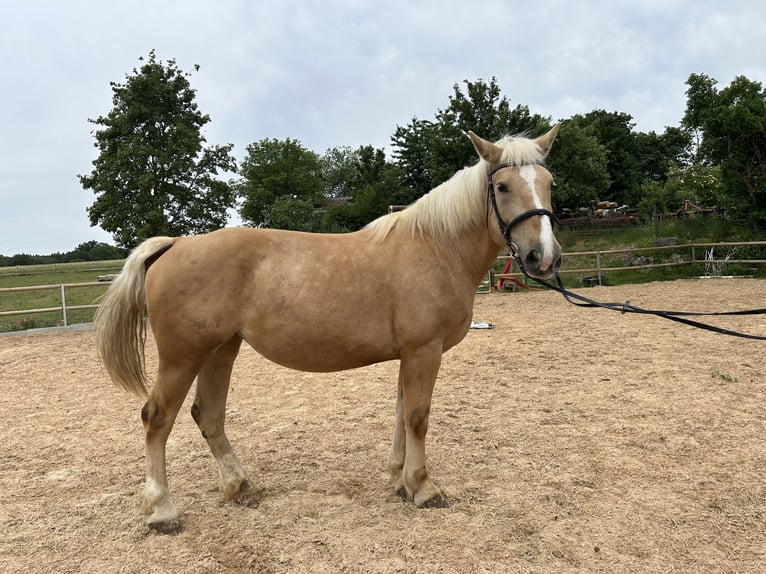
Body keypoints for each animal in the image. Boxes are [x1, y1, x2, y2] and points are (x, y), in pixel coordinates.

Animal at [94, 125, 562, 532]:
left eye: (549, 182)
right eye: (502, 187)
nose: (544, 257)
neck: (437, 247)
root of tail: (175, 244)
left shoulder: (409, 354)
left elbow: (400, 413)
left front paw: (400, 480)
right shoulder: (424, 351)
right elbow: (418, 417)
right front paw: (424, 487)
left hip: (220, 349)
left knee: (208, 415)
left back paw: (239, 486)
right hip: (183, 356)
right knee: (157, 418)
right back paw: (163, 510)